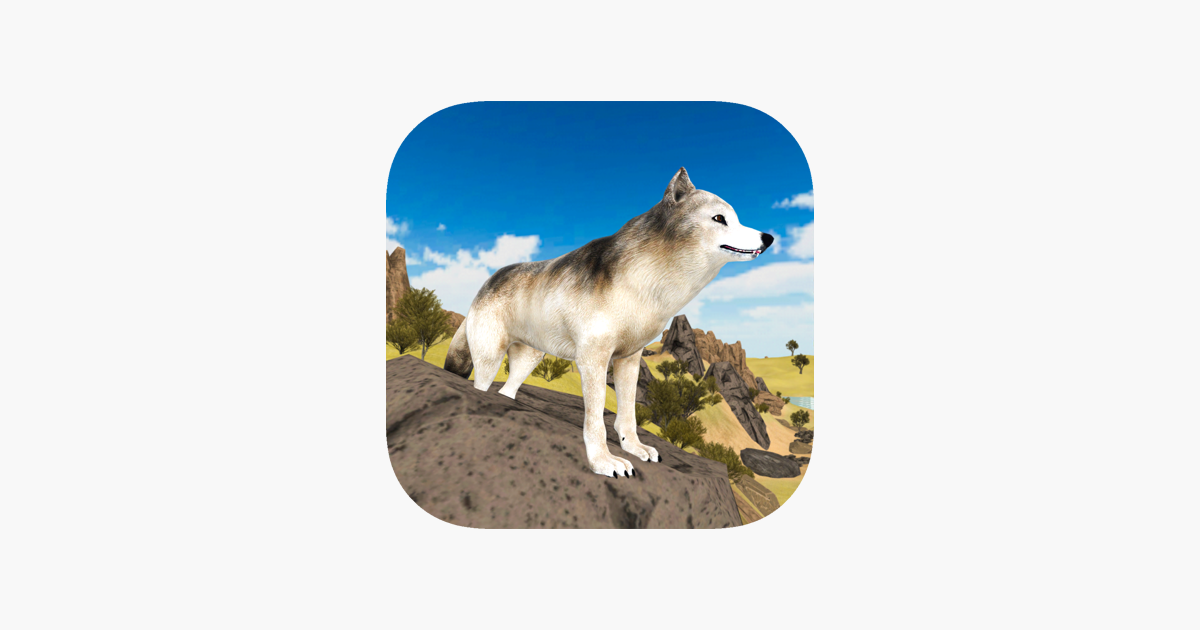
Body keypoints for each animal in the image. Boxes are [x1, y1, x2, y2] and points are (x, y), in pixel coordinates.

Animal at [444, 168, 773, 477]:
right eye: (719, 218)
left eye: (736, 218)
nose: (768, 238)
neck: (648, 285)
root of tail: (487, 281)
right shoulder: (593, 360)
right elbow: (596, 422)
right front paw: (603, 462)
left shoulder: (629, 359)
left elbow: (627, 415)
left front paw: (635, 448)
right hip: (489, 360)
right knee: (482, 386)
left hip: (529, 360)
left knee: (506, 392)